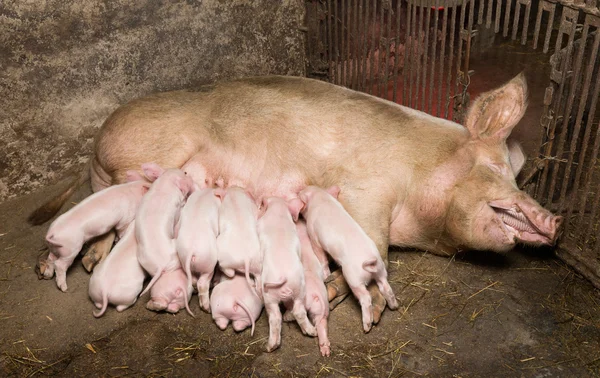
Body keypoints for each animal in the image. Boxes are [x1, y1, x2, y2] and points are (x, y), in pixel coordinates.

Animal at [135, 164, 193, 314]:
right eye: (185, 173)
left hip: (144, 260)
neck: (165, 182)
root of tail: (160, 263)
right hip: (175, 252)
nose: (188, 173)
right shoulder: (178, 204)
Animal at [258, 196, 316, 352]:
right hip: (299, 289)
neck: (278, 211)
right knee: (298, 311)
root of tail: (283, 277)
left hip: (269, 296)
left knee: (275, 317)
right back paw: (312, 332)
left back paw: (269, 347)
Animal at [298, 185, 396, 332]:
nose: (299, 190)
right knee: (386, 288)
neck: (321, 199)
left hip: (354, 279)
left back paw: (366, 326)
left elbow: (322, 257)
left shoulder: (314, 236)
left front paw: (326, 275)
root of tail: (372, 262)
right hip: (381, 271)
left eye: (302, 192)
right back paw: (394, 306)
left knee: (366, 297)